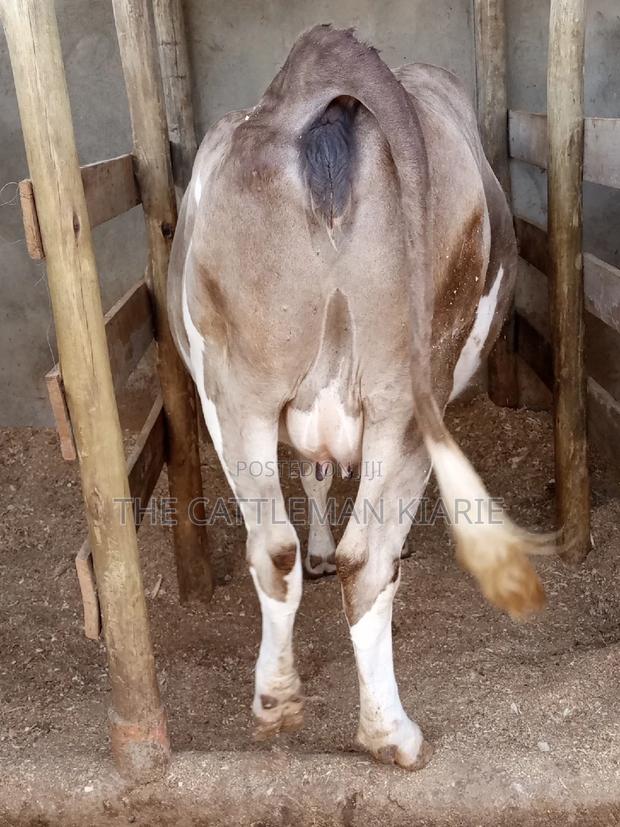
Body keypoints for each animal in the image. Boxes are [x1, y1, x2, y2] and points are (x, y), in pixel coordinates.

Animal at [168, 25, 549, 770]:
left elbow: (313, 479)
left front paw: (317, 547)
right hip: (405, 395)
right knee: (368, 559)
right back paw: (392, 734)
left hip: (236, 392)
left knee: (272, 547)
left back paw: (276, 701)